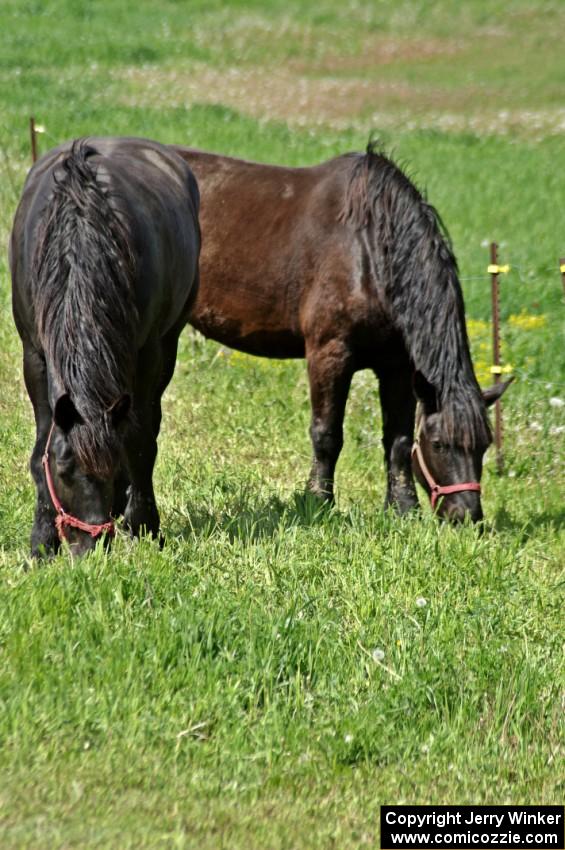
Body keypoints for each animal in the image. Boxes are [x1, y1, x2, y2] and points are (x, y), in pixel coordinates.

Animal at [9, 136, 200, 552]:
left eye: (110, 466)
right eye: (64, 468)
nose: (89, 544)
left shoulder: (147, 356)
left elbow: (139, 444)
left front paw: (145, 526)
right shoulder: (35, 355)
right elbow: (40, 446)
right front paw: (42, 542)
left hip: (167, 347)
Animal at [170, 142, 508, 520]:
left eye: (485, 445)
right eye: (438, 444)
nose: (467, 515)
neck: (370, 251)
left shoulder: (398, 367)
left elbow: (399, 439)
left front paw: (403, 508)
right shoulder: (329, 354)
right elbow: (327, 433)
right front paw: (318, 501)